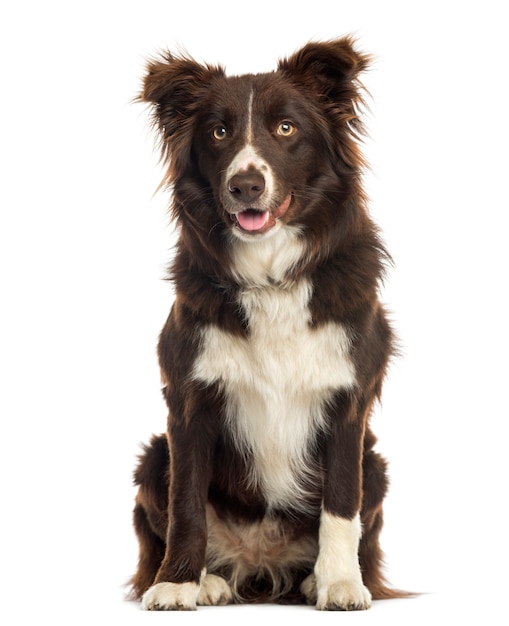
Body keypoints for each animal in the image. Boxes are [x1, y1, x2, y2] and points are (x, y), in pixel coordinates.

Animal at [131, 35, 404, 608]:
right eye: (219, 132)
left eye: (286, 128)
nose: (246, 185)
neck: (272, 276)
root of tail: (261, 562)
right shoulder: (188, 404)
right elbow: (186, 503)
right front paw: (176, 583)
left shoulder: (348, 402)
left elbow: (340, 504)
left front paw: (340, 583)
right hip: (153, 455)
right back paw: (210, 581)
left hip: (377, 464)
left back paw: (313, 578)